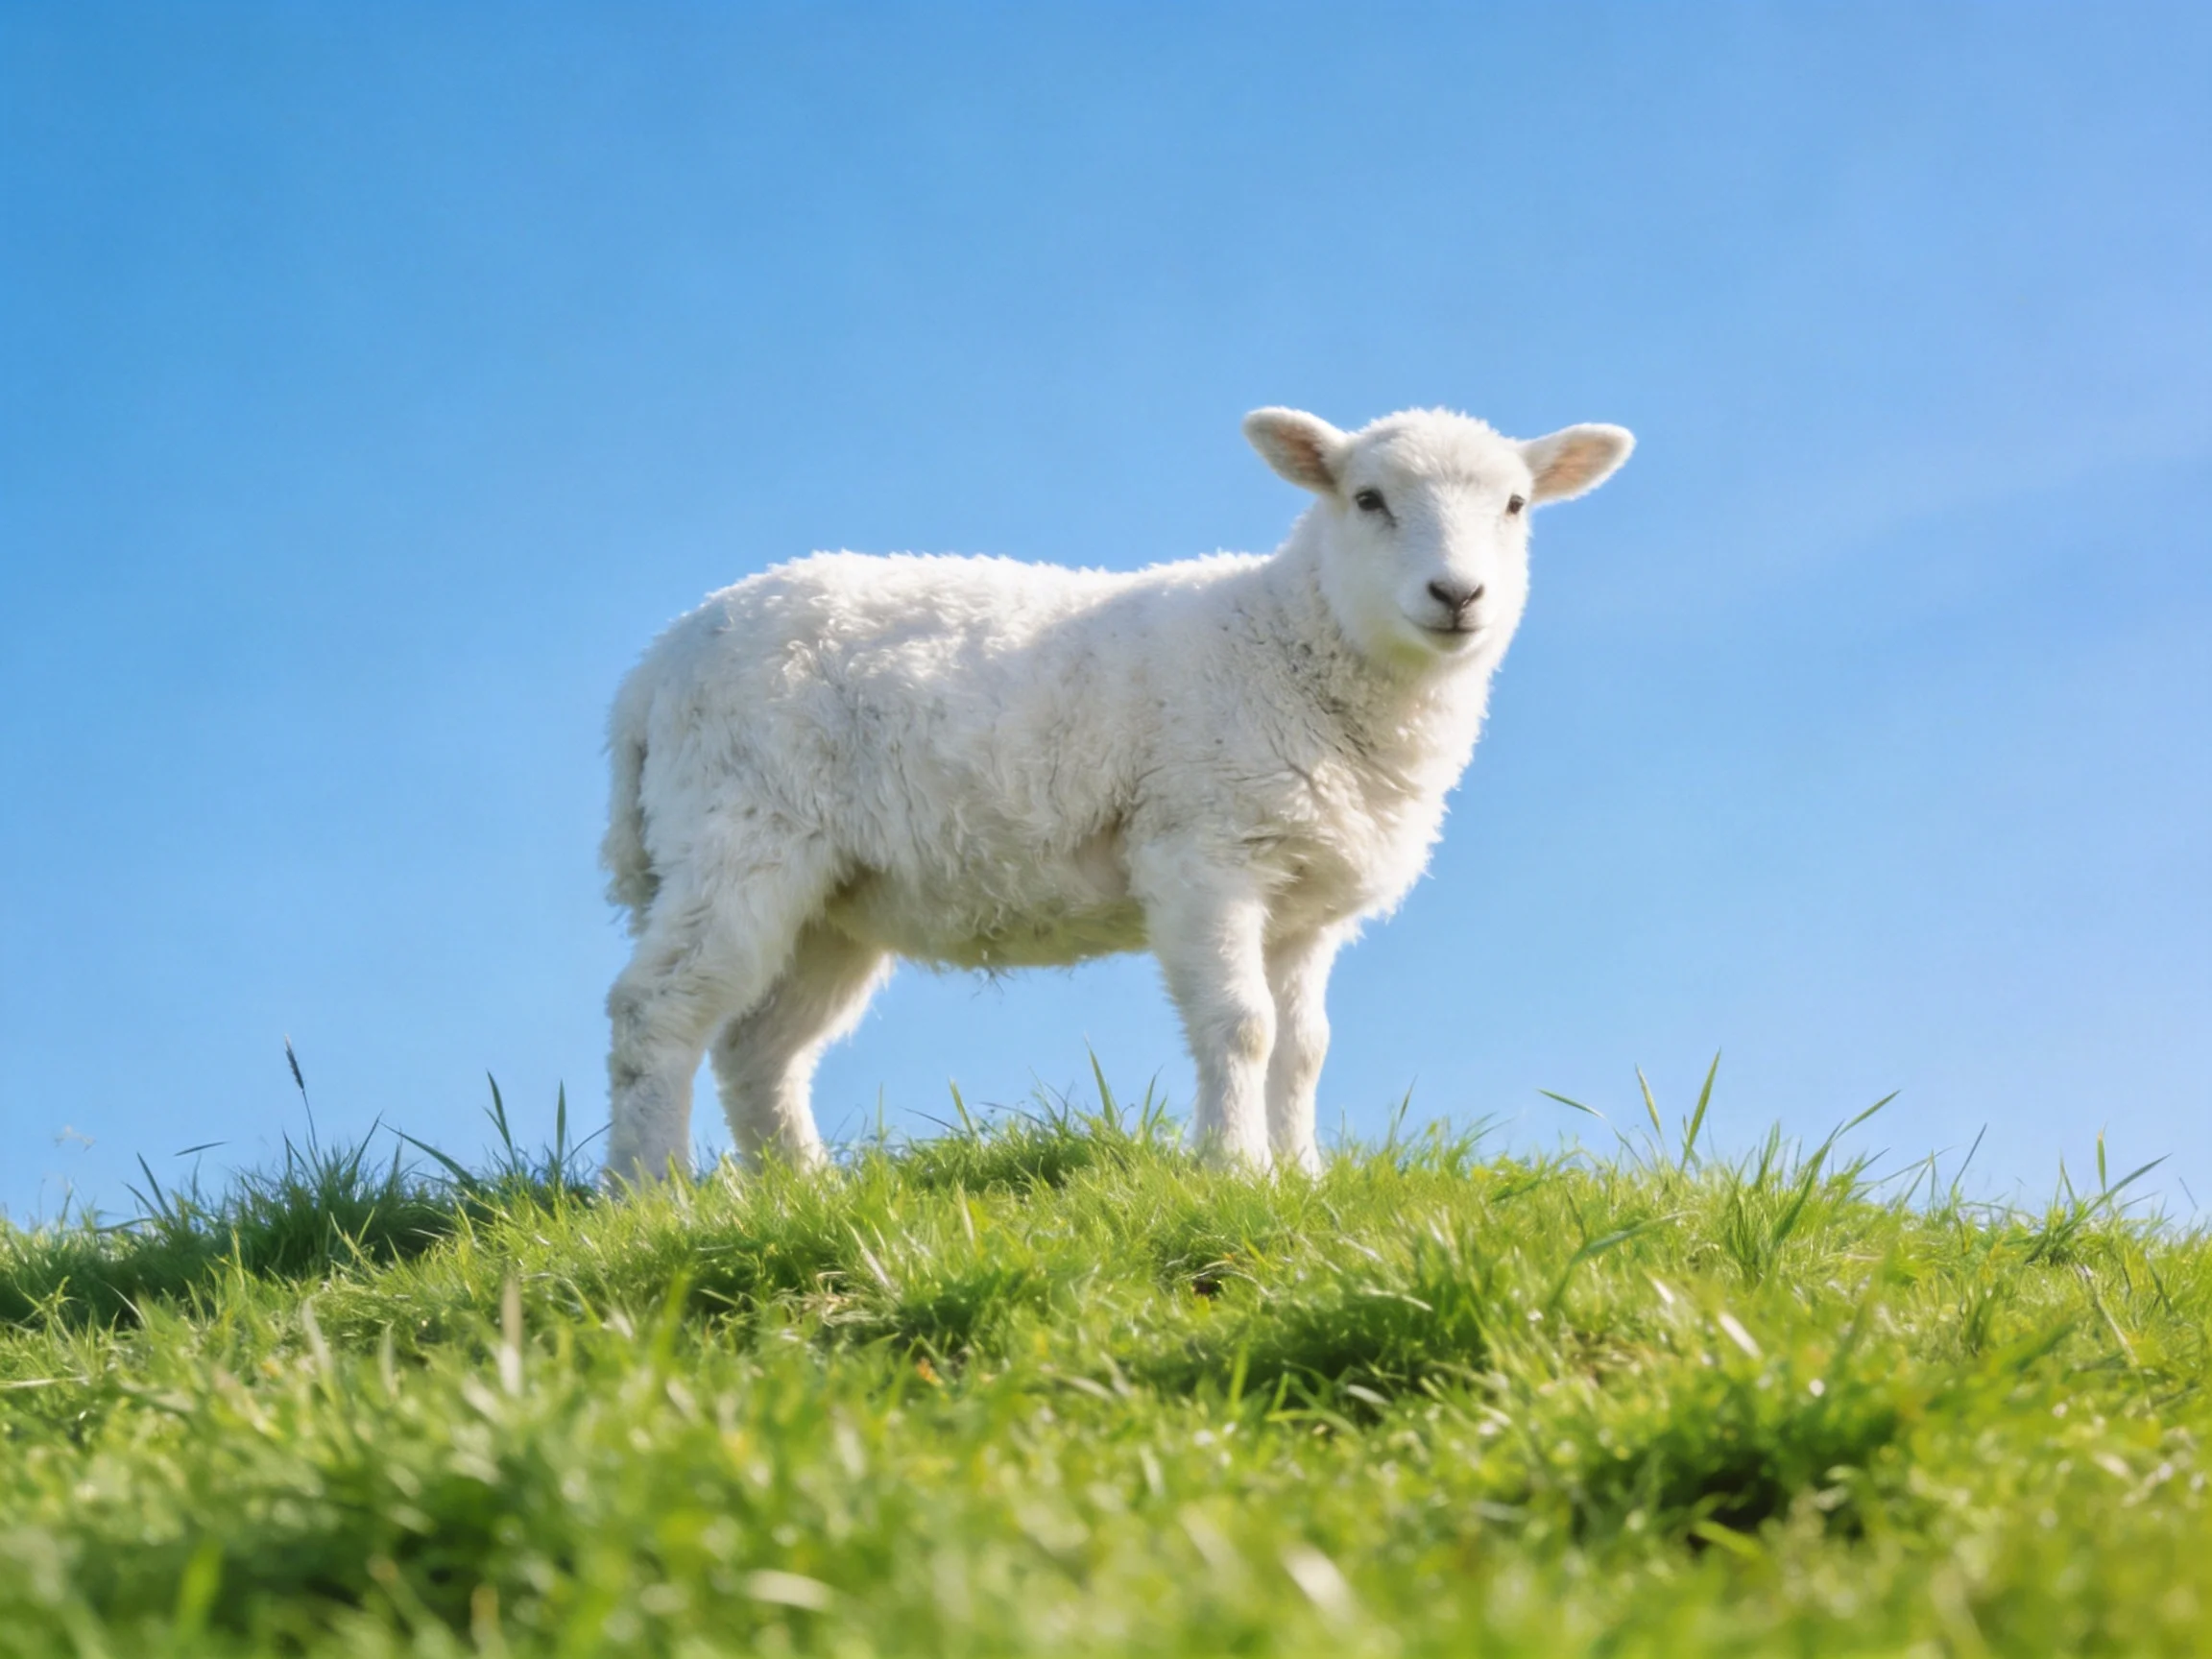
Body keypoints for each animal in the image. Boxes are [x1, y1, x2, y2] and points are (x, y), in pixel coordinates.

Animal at [600, 406, 1633, 1186]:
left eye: (1515, 504)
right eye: (1367, 499)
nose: (1457, 595)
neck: (1288, 640)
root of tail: (655, 665)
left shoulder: (1306, 901)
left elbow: (1304, 1047)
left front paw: (1302, 1178)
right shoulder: (1203, 851)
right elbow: (1243, 1028)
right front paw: (1235, 1173)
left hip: (832, 901)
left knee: (760, 1051)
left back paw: (805, 1195)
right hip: (740, 833)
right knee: (655, 1013)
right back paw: (652, 1195)